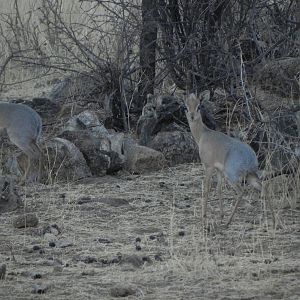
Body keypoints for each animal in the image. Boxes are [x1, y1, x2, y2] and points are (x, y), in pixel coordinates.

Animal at [183, 92, 274, 227]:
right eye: (186, 106)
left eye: (199, 106)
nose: (192, 116)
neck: (203, 134)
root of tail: (250, 157)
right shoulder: (219, 170)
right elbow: (219, 189)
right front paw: (221, 214)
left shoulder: (208, 167)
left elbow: (207, 189)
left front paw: (204, 215)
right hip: (250, 176)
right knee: (264, 187)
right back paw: (273, 218)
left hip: (232, 177)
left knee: (241, 192)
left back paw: (228, 221)